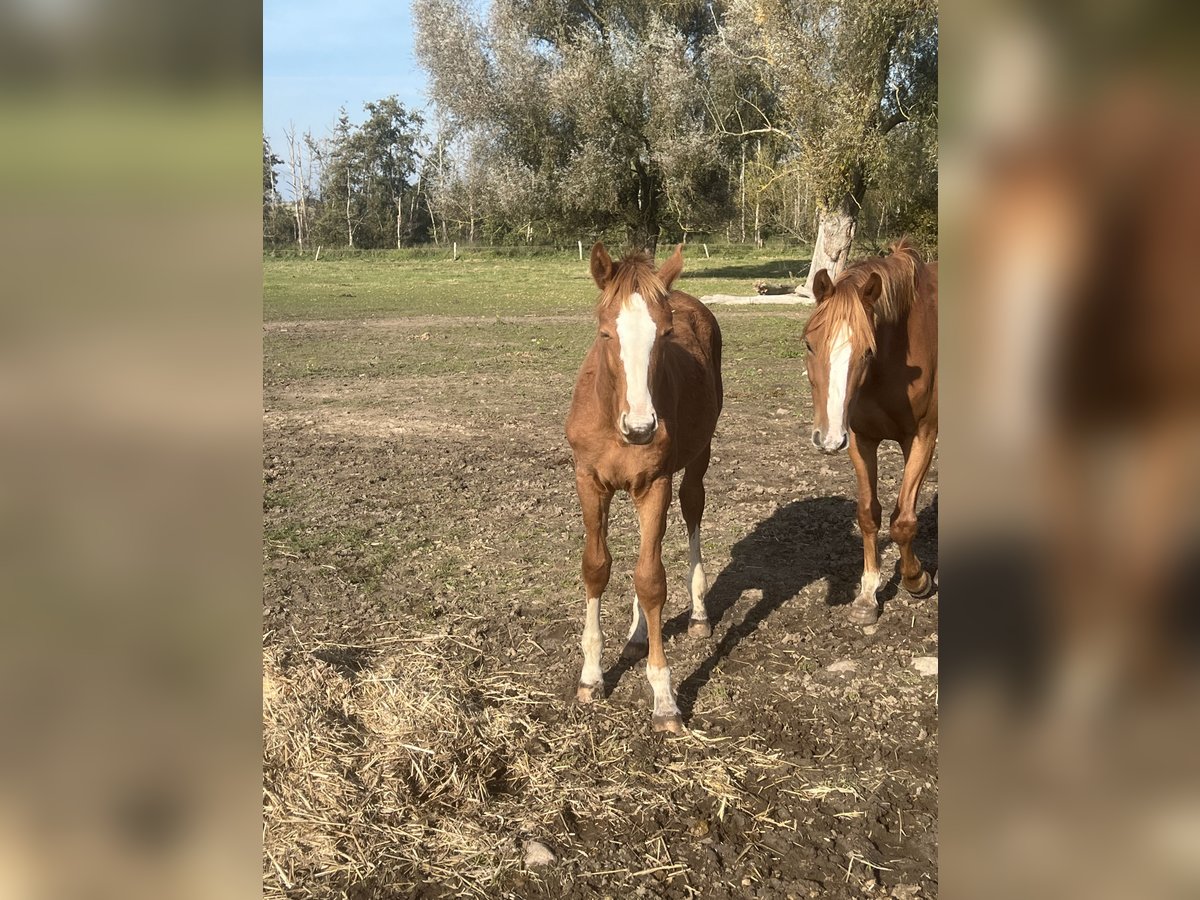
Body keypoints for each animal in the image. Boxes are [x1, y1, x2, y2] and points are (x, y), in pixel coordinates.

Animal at [564, 243, 720, 734]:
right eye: (605, 333)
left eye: (666, 335)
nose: (640, 428)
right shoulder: (589, 481)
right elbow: (597, 566)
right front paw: (591, 677)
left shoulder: (655, 484)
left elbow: (651, 580)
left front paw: (664, 699)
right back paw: (635, 636)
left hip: (698, 456)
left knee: (692, 509)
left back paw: (699, 614)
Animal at [806, 243, 936, 628]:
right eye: (809, 345)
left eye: (868, 350)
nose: (827, 438)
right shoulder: (860, 439)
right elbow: (868, 513)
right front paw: (867, 595)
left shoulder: (922, 438)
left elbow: (903, 521)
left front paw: (917, 579)